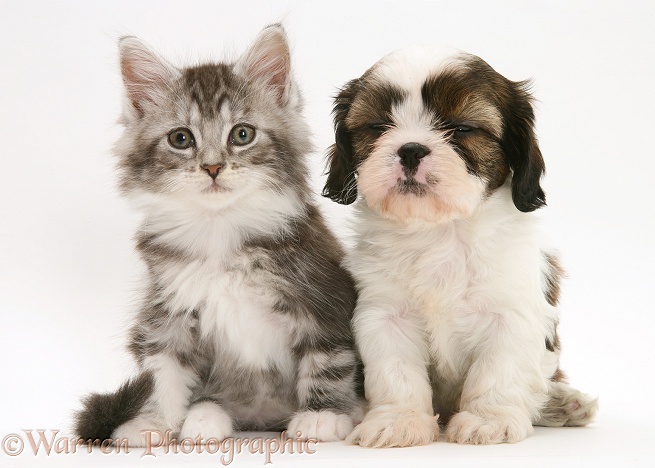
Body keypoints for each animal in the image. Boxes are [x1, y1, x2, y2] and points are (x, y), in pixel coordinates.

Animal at [75, 26, 362, 446]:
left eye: (242, 134)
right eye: (181, 139)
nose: (212, 167)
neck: (220, 229)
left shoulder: (325, 301)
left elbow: (328, 361)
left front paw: (322, 416)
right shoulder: (166, 313)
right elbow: (161, 374)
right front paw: (152, 422)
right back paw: (205, 415)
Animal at [322, 46, 600, 446]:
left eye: (463, 129)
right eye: (377, 126)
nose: (410, 149)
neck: (440, 230)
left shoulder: (512, 312)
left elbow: (499, 368)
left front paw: (488, 419)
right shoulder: (385, 314)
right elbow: (395, 372)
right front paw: (399, 419)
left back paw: (564, 403)